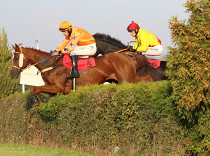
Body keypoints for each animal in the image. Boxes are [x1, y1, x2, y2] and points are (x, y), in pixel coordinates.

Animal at [9, 44, 152, 104]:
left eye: (15, 58)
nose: (11, 74)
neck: (51, 64)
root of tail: (127, 55)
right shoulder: (59, 90)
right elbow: (36, 89)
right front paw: (41, 99)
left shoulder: (58, 87)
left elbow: (34, 89)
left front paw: (39, 101)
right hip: (117, 80)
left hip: (127, 79)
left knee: (147, 78)